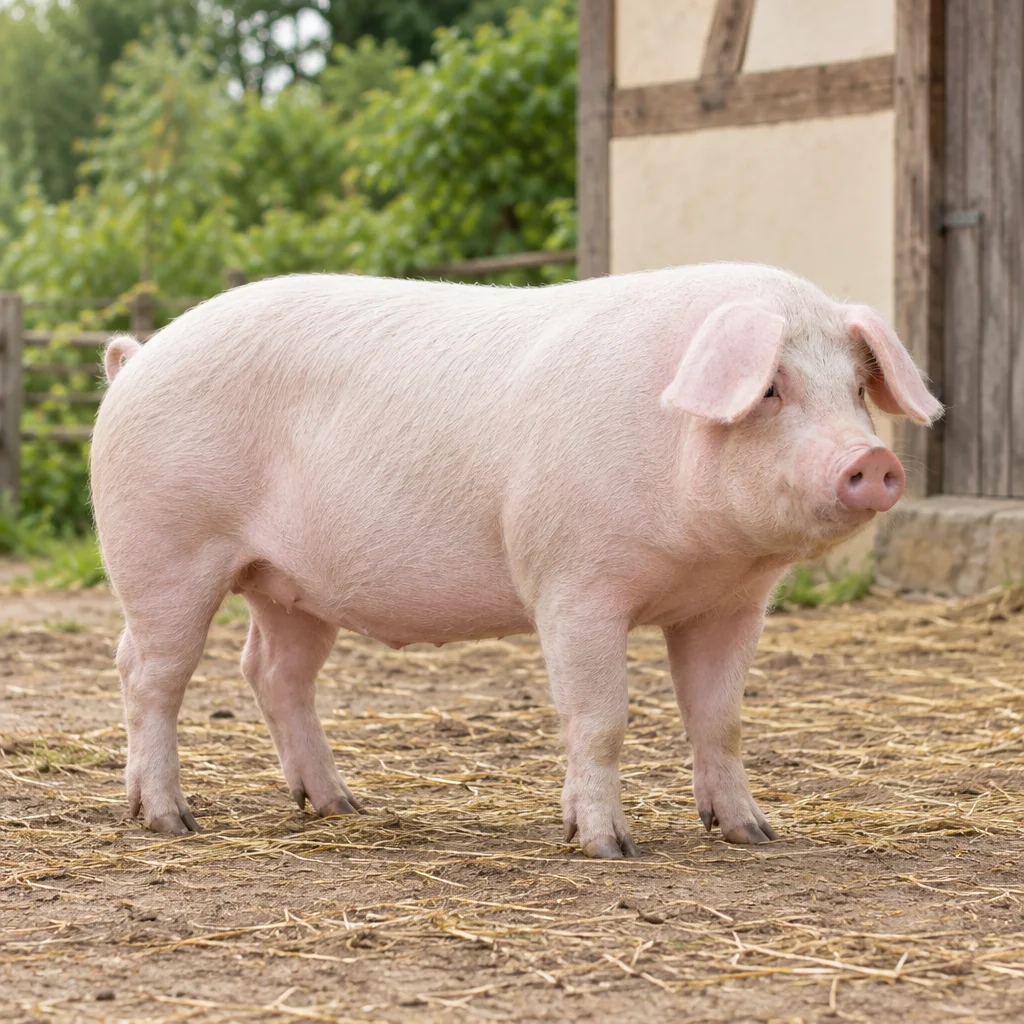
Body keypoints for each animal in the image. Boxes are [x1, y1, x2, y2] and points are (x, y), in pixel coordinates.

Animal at [91, 264, 941, 858]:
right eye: (770, 388)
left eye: (857, 388)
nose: (871, 461)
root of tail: (138, 357)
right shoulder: (573, 584)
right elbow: (601, 718)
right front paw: (608, 846)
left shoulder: (730, 604)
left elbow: (721, 718)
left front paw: (754, 834)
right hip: (162, 550)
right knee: (147, 671)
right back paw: (171, 821)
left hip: (292, 587)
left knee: (271, 672)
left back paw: (342, 805)